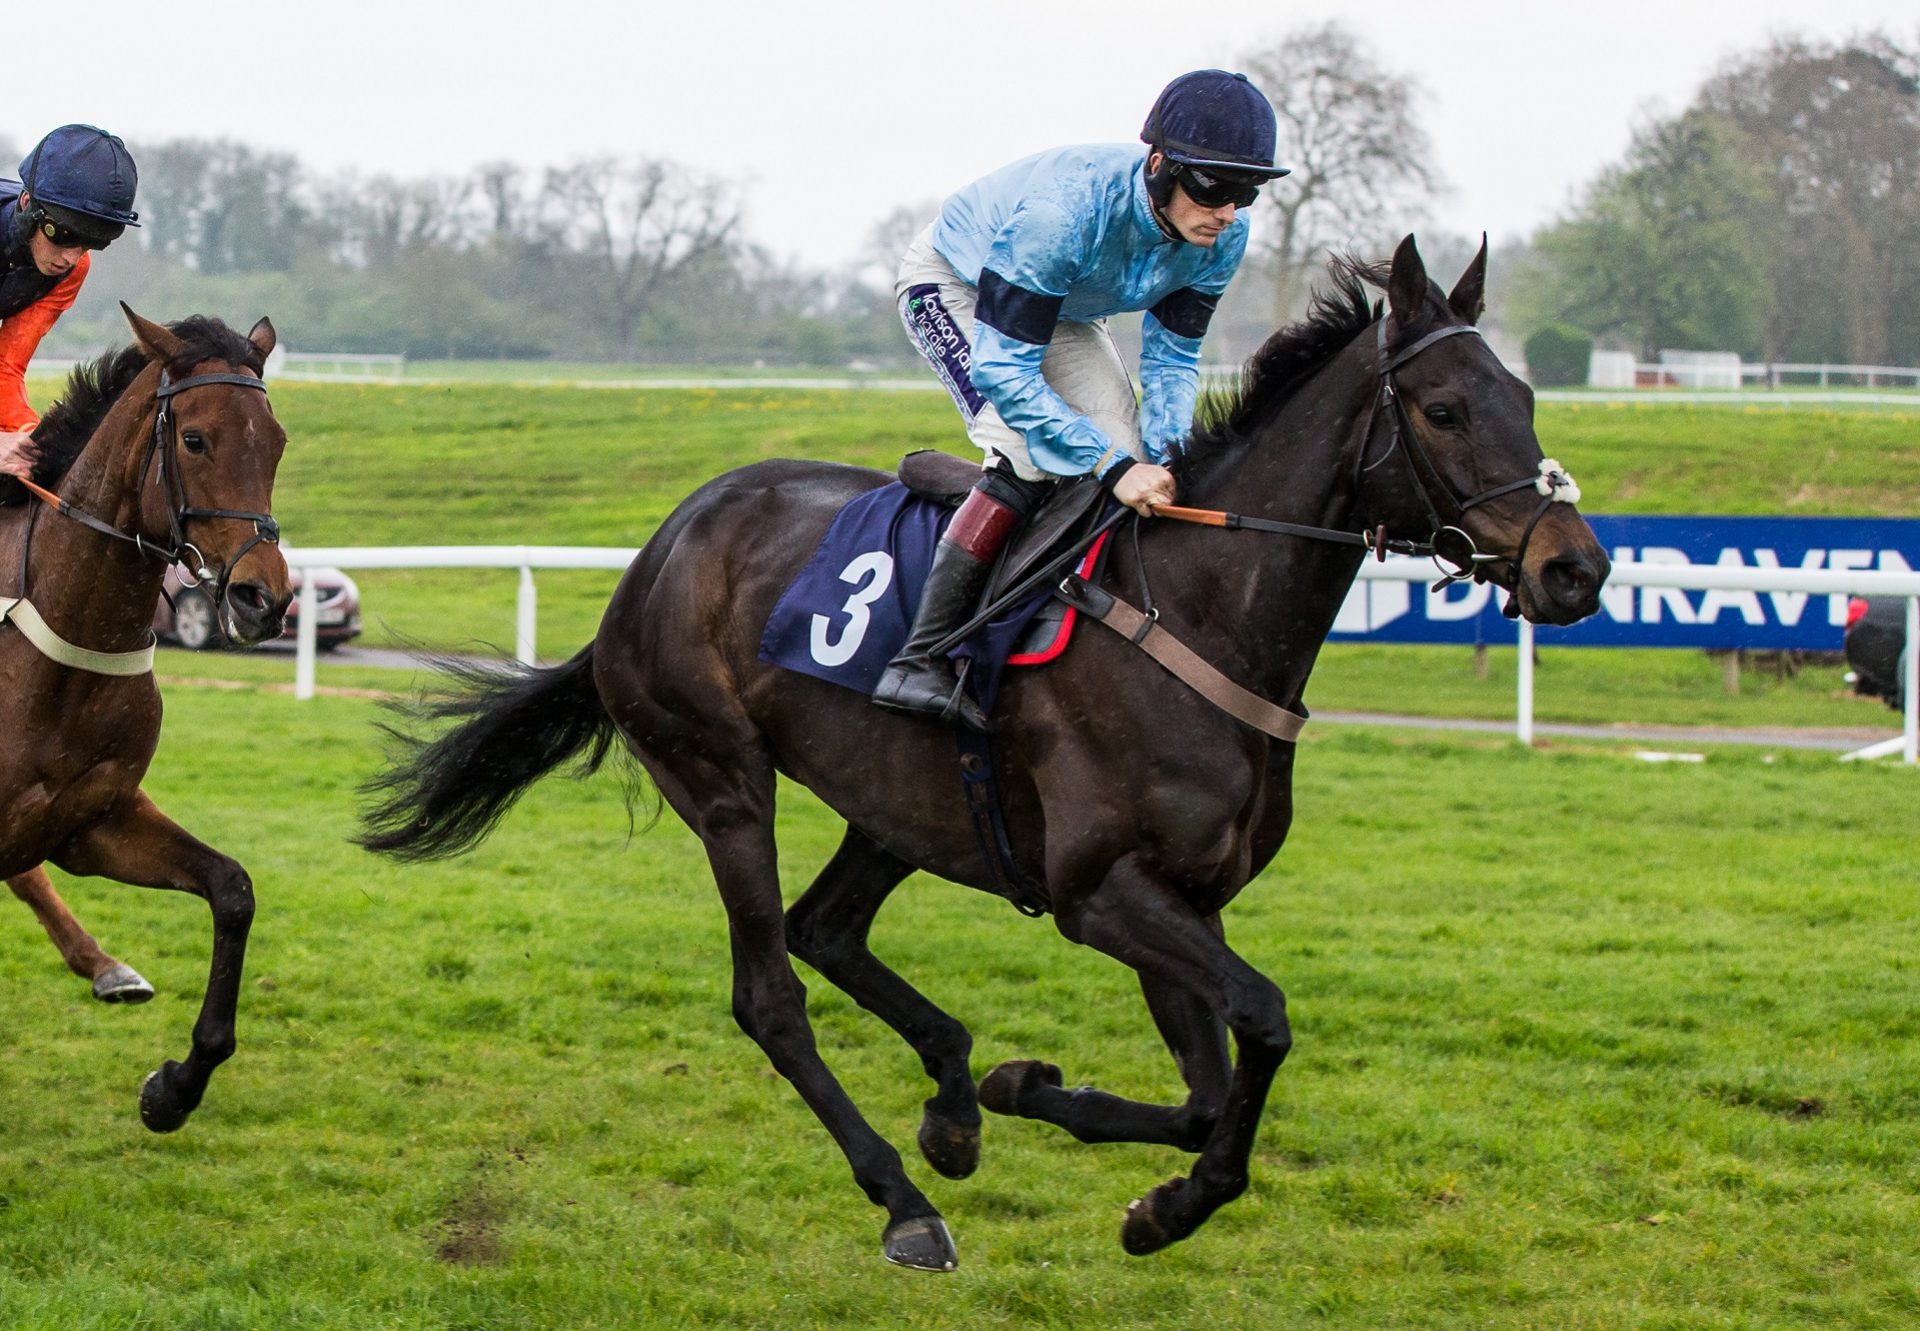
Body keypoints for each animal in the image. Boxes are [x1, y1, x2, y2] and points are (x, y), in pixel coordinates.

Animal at [1, 311, 288, 1129]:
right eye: (194, 439)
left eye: (277, 439)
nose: (264, 598)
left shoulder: (91, 821)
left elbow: (232, 889)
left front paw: (175, 1087)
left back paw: (106, 968)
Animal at [366, 239, 1612, 1267]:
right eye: (1444, 407)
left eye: (1527, 395)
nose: (1576, 567)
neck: (1198, 612)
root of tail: (655, 555)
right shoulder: (1099, 889)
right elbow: (1261, 1019)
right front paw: (1169, 1198)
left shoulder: (1184, 896)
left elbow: (1206, 1091)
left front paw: (1047, 1109)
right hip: (720, 781)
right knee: (772, 994)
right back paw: (904, 1198)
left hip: (899, 803)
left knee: (829, 928)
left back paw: (956, 1103)